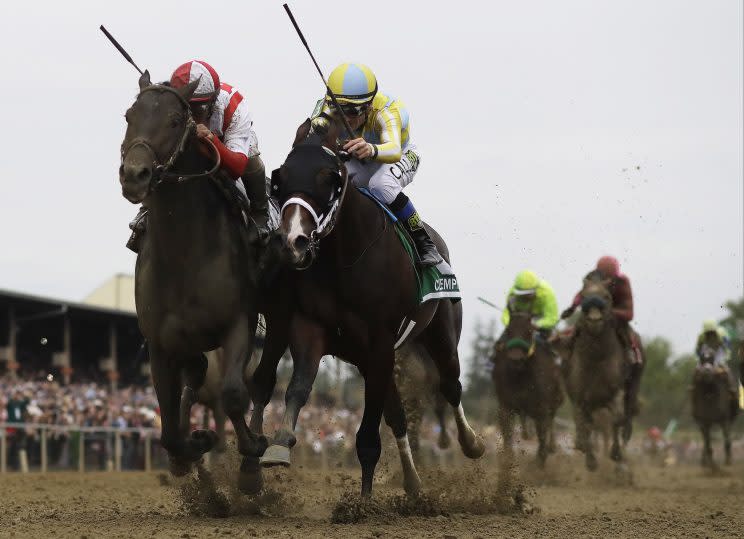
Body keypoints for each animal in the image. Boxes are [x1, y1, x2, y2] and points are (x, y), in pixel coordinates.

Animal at [120, 71, 272, 476]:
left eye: (175, 120)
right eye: (129, 115)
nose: (134, 174)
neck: (184, 257)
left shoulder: (239, 323)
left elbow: (233, 395)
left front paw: (252, 448)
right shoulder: (160, 345)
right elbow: (169, 426)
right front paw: (190, 449)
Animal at [247, 119, 486, 498]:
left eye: (328, 179)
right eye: (280, 177)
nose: (292, 242)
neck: (344, 259)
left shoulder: (380, 343)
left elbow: (369, 437)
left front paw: (363, 502)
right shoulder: (313, 328)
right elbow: (298, 386)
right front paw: (279, 444)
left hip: (441, 334)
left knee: (450, 385)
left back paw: (471, 443)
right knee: (399, 416)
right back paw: (413, 482)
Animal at [492, 312, 560, 468]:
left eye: (529, 331)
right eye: (508, 330)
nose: (515, 359)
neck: (520, 376)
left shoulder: (541, 409)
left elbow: (542, 441)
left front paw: (537, 466)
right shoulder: (505, 405)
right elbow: (507, 438)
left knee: (550, 423)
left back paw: (552, 446)